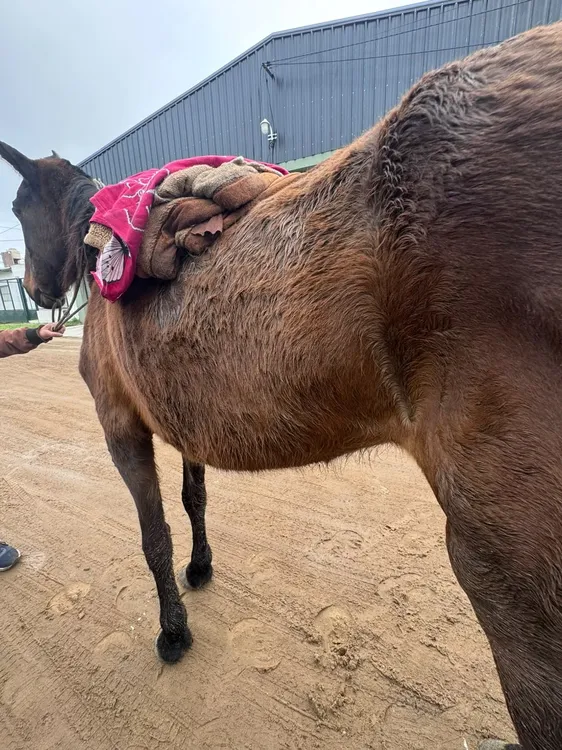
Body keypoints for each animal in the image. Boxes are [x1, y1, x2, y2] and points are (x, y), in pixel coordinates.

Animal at [3, 21, 562, 750]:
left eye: (18, 206)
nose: (37, 290)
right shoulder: (181, 419)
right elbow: (194, 500)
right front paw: (201, 568)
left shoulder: (121, 426)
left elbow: (154, 535)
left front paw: (173, 631)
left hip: (508, 574)